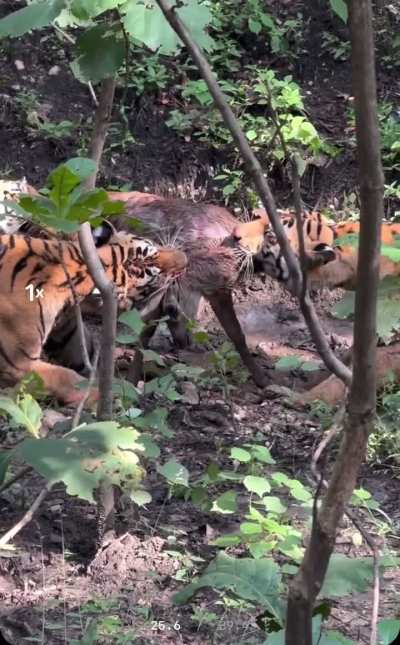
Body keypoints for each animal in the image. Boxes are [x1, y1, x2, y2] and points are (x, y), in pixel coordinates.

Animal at [0, 232, 187, 405]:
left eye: (155, 246)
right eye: (156, 271)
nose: (186, 259)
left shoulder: (70, 335)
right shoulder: (18, 362)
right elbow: (66, 377)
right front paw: (113, 398)